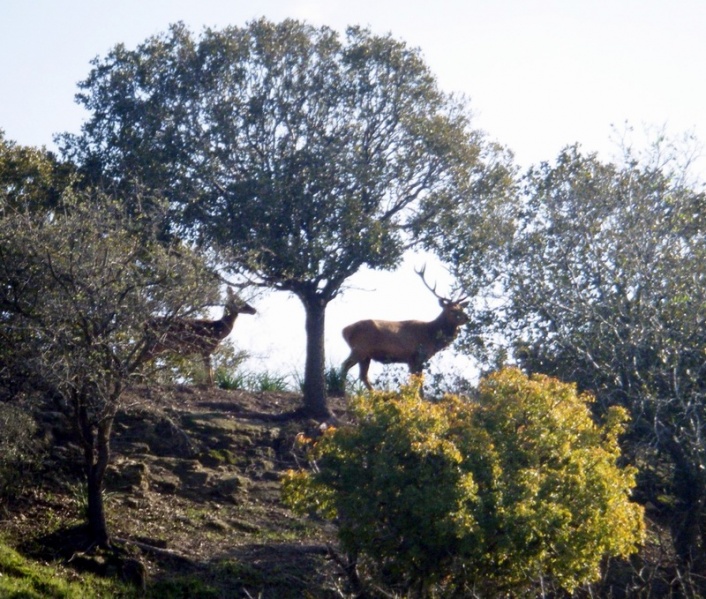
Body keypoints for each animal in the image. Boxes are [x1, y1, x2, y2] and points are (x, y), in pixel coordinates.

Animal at [340, 266, 468, 390]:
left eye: (461, 308)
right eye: (452, 310)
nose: (467, 318)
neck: (431, 336)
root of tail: (344, 331)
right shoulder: (415, 357)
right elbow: (418, 385)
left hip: (366, 355)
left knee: (363, 375)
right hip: (360, 349)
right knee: (345, 365)